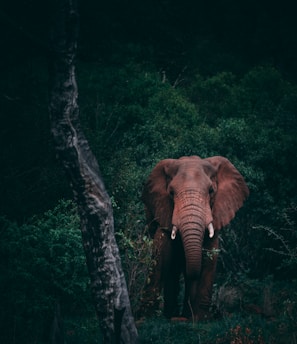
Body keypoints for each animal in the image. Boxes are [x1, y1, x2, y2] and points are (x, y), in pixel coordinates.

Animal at [141, 155, 247, 322]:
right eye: (171, 193)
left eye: (211, 191)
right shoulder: (163, 209)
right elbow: (161, 253)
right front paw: (146, 318)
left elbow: (210, 255)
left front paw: (201, 319)